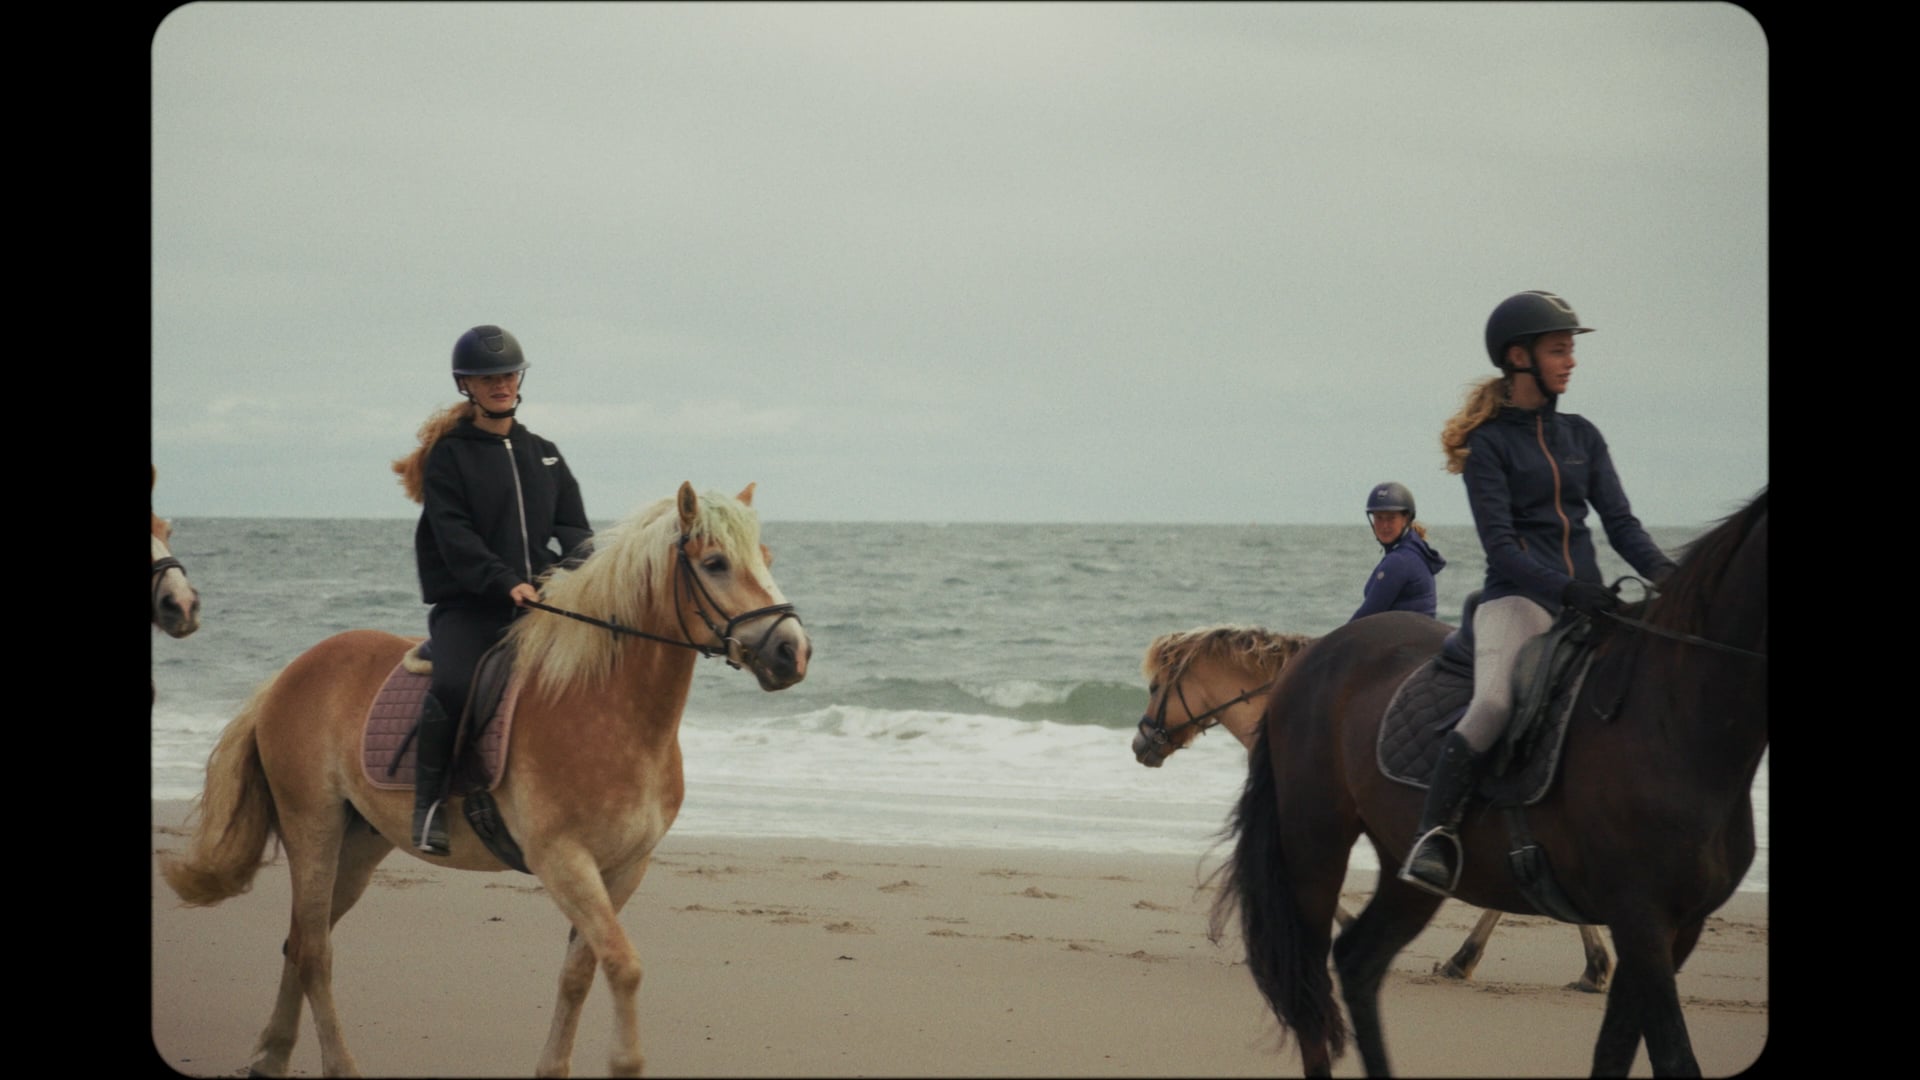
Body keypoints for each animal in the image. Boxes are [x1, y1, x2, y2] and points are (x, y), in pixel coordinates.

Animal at [161, 482, 812, 1078]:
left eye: (766, 557)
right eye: (716, 563)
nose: (793, 651)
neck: (606, 704)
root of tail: (289, 673)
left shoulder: (624, 868)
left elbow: (580, 972)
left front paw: (554, 1067)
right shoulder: (563, 860)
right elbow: (623, 965)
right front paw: (625, 1062)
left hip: (360, 844)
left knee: (299, 940)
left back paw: (271, 1056)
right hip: (312, 828)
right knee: (316, 951)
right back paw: (339, 1065)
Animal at [1212, 489, 1765, 1077]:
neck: (1670, 717)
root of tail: (1309, 662)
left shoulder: (1674, 928)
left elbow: (1620, 1050)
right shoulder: (1643, 919)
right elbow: (1670, 1055)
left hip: (1400, 868)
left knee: (1356, 962)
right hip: (1315, 847)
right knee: (1313, 987)